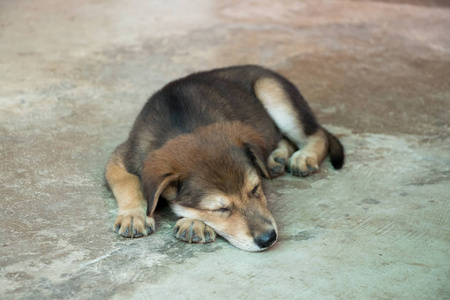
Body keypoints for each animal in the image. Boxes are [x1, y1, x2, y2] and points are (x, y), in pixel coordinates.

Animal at [105, 64, 344, 252]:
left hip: (271, 89)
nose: (268, 239)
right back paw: (276, 159)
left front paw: (194, 222)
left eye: (255, 189)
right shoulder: (119, 157)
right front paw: (133, 215)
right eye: (219, 210)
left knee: (317, 134)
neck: (182, 125)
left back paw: (303, 156)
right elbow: (127, 181)